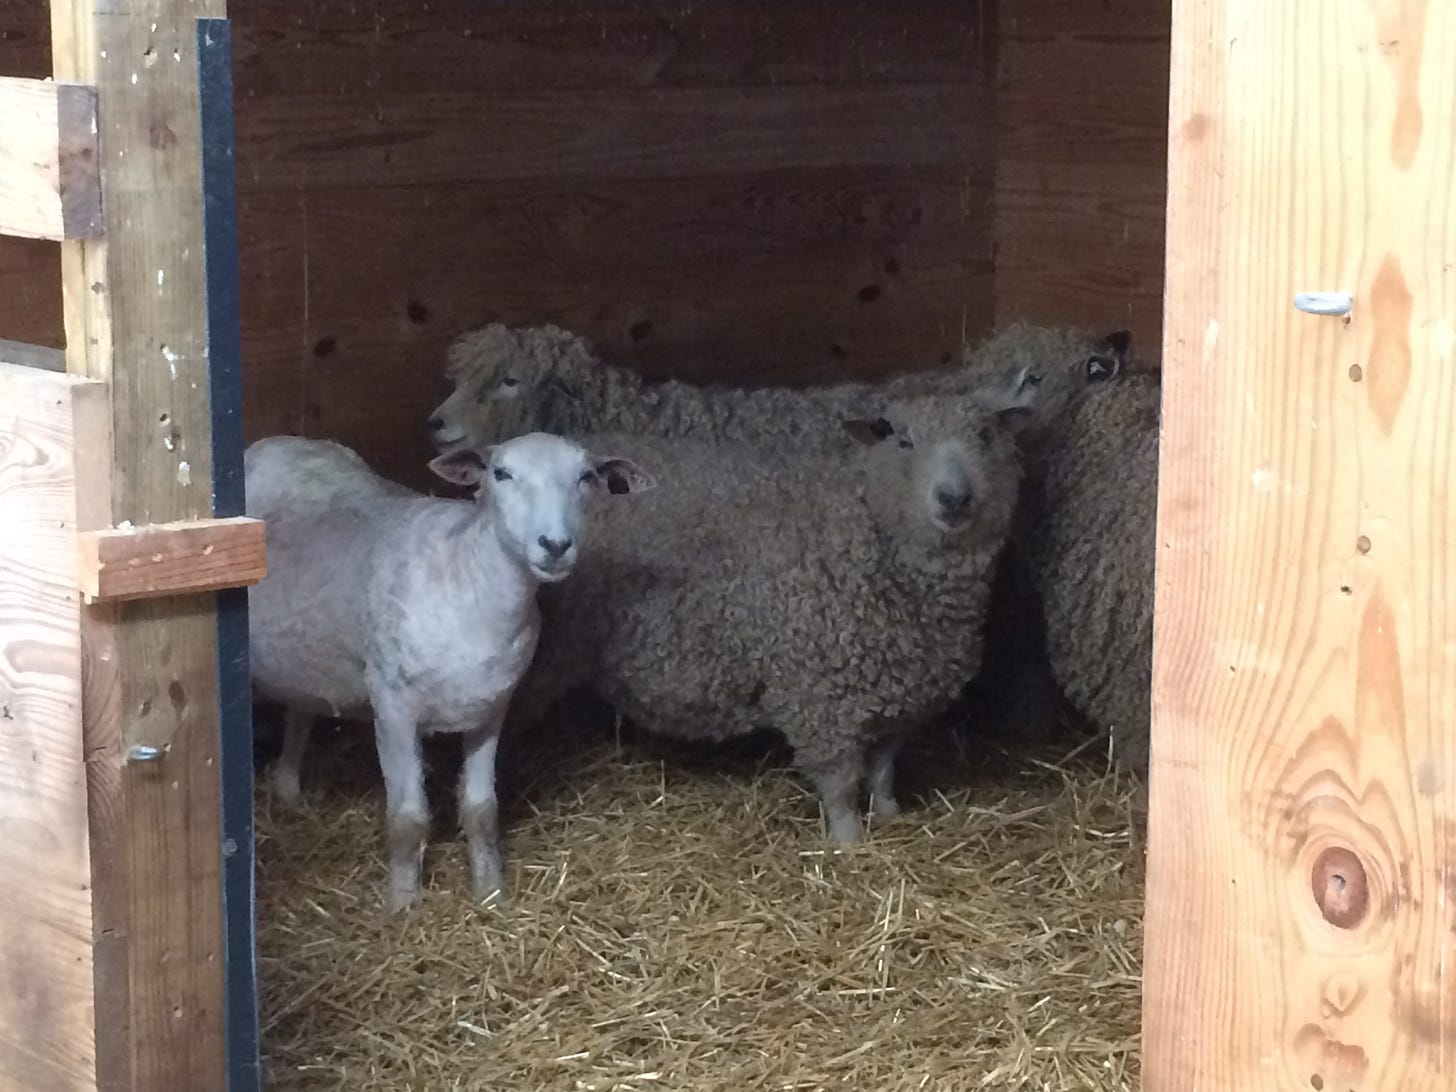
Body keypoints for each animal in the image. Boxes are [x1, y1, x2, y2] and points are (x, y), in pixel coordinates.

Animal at [245, 432, 654, 910]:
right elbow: (407, 820)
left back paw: (288, 790)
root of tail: (281, 440)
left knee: (300, 707)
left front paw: (491, 892)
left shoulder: (491, 709)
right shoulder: (394, 709)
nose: (555, 545)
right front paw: (403, 905)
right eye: (501, 473)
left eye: (586, 477)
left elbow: (482, 811)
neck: (470, 582)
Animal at [506, 393, 1027, 843]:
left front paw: (891, 815)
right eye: (904, 441)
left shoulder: (899, 695)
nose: (954, 498)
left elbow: (882, 770)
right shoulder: (820, 699)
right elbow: (840, 786)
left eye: (985, 437)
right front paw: (849, 844)